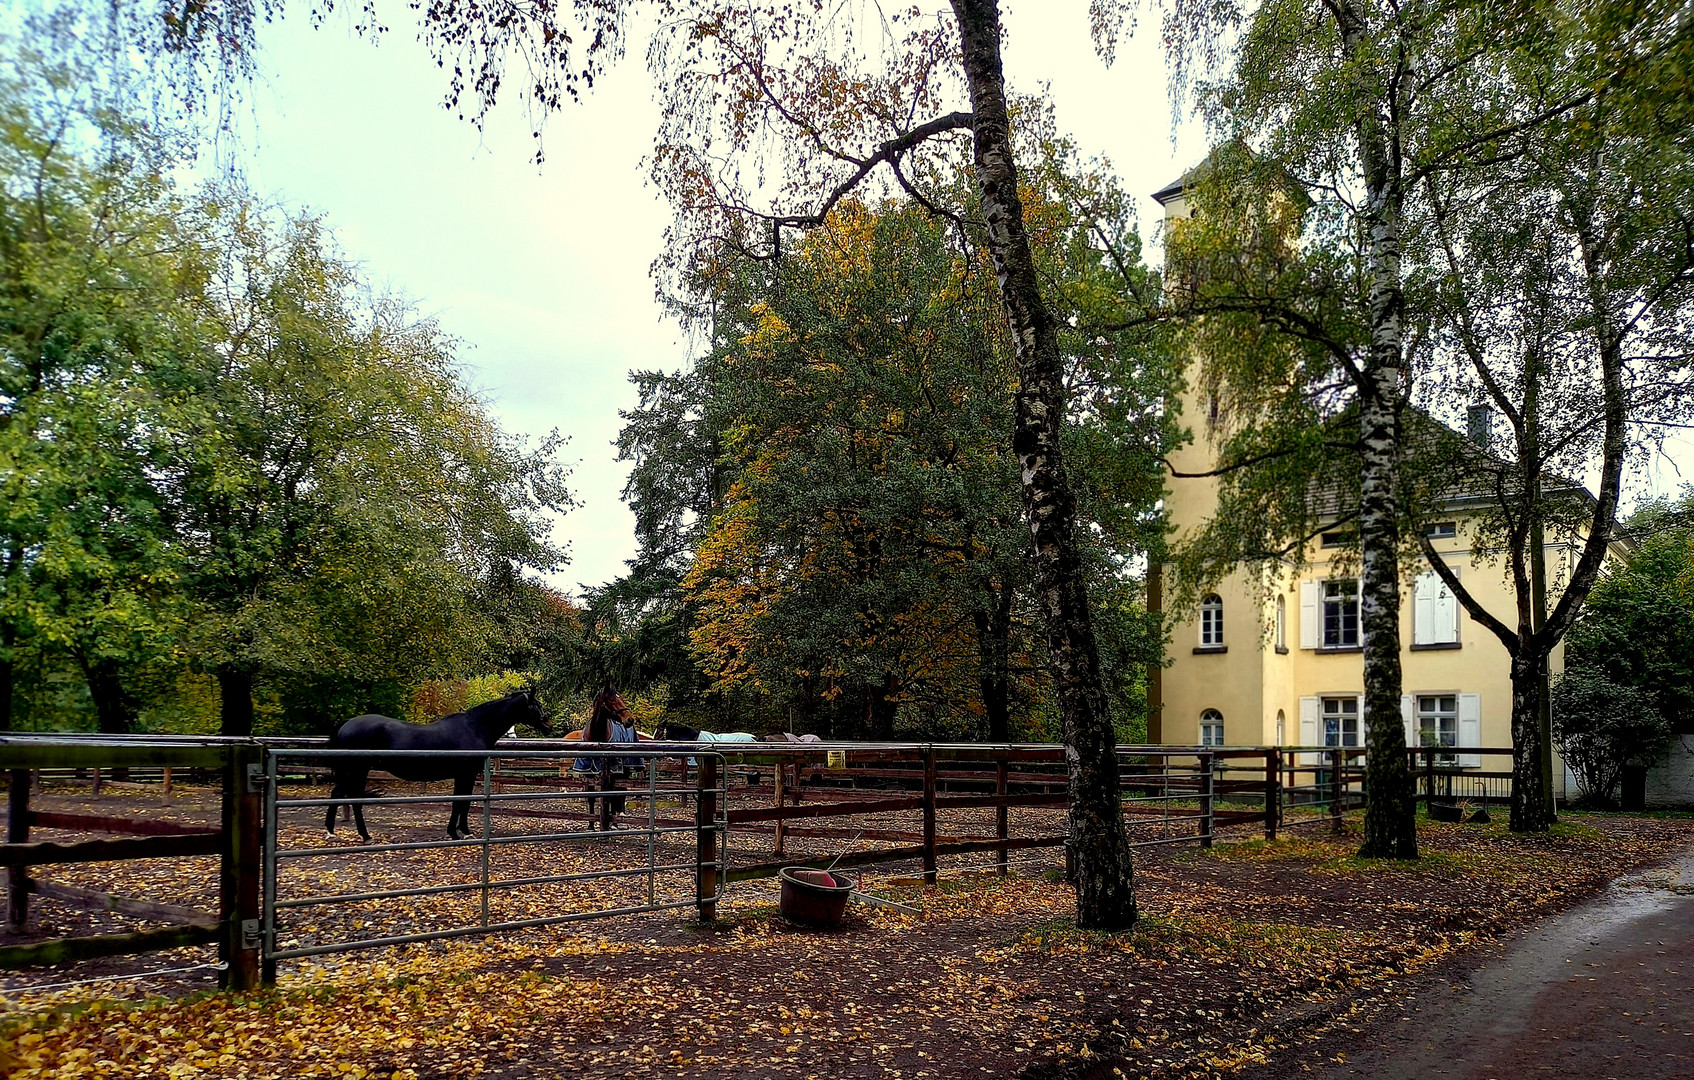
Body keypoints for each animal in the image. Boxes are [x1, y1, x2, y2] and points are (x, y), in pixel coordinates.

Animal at [325, 694, 548, 846]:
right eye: (535, 705)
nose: (548, 724)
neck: (474, 727)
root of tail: (345, 724)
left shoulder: (467, 775)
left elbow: (465, 803)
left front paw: (464, 831)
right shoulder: (464, 775)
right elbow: (459, 803)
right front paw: (455, 832)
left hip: (350, 772)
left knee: (337, 793)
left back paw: (331, 831)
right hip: (357, 770)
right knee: (353, 798)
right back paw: (365, 835)